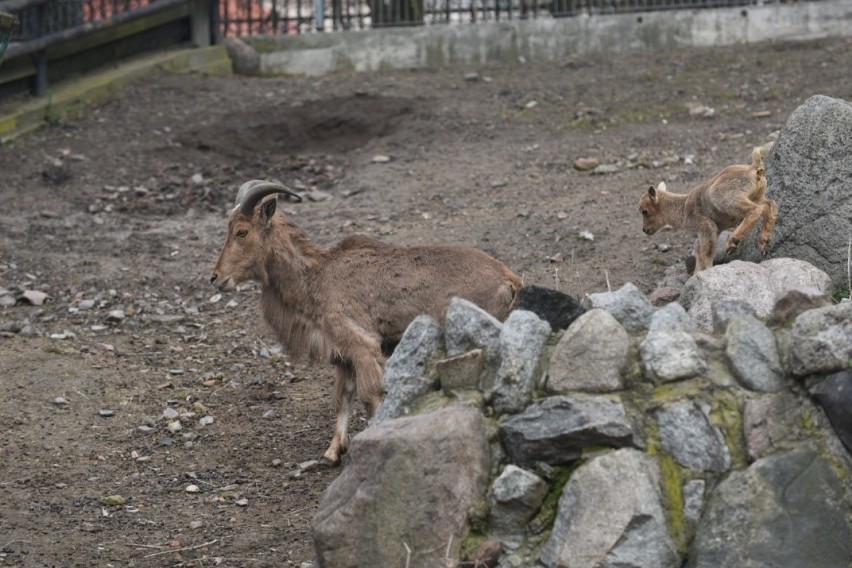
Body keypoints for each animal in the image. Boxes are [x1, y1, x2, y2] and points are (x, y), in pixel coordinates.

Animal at [210, 181, 524, 466]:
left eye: (242, 231)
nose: (216, 278)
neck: (314, 278)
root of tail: (510, 279)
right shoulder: (343, 357)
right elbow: (343, 397)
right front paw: (332, 452)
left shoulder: (362, 345)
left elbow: (370, 395)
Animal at [640, 145, 772, 272]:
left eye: (645, 211)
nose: (645, 230)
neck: (684, 207)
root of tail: (753, 168)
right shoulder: (715, 230)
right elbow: (700, 251)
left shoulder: (706, 227)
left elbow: (706, 252)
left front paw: (708, 269)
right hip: (757, 196)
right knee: (769, 205)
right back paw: (764, 240)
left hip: (724, 198)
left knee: (756, 209)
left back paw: (732, 242)